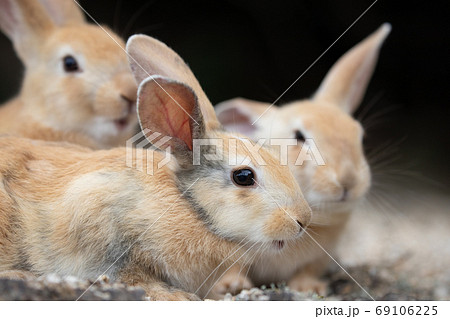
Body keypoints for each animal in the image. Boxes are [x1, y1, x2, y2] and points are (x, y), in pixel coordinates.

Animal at [0, 33, 312, 302]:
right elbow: (132, 275)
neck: (188, 205)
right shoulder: (103, 227)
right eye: (244, 176)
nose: (302, 220)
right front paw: (176, 295)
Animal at [214, 23, 390, 296]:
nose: (348, 181)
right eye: (298, 137)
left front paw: (309, 288)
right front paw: (231, 286)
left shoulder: (320, 258)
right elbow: (232, 264)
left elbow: (308, 269)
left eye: (359, 136)